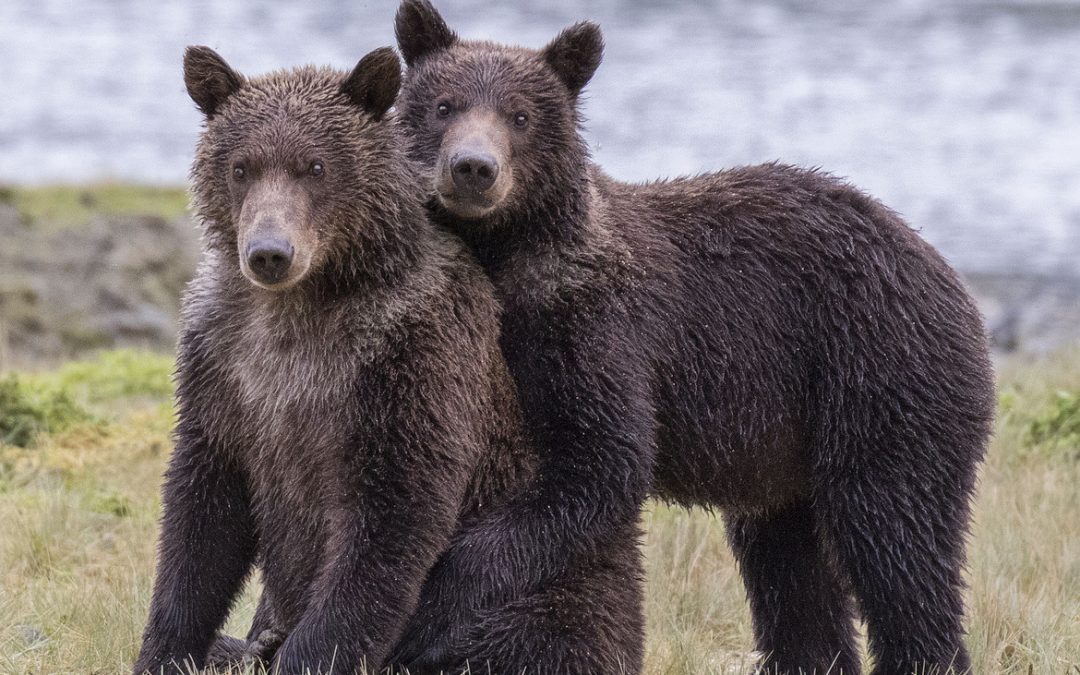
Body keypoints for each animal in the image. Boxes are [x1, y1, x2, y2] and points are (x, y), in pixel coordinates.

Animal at [133, 46, 645, 675]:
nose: (270, 253)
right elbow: (202, 517)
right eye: (241, 167)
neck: (306, 305)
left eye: (315, 166)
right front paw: (169, 648)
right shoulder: (224, 363)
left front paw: (309, 654)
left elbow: (391, 519)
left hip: (556, 585)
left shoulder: (406, 360)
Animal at [388, 2, 997, 674]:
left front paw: (429, 608)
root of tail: (950, 277)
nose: (473, 168)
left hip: (880, 375)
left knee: (895, 537)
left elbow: (599, 462)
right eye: (444, 105)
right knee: (790, 565)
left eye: (520, 116)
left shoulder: (597, 328)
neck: (507, 254)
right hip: (788, 449)